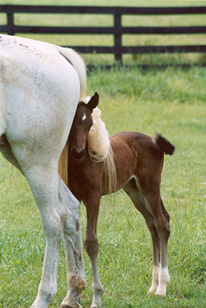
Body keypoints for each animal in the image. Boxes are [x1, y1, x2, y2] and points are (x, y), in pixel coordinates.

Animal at [0, 35, 85, 308]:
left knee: (54, 221)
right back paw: (73, 293)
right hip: (29, 160)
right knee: (70, 209)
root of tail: (56, 51)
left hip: (35, 163)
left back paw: (43, 297)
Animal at [65, 92, 175, 308]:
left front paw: (96, 297)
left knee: (161, 223)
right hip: (134, 191)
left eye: (90, 124)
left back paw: (162, 287)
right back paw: (153, 285)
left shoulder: (93, 198)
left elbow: (90, 242)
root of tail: (154, 141)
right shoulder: (74, 198)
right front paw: (75, 296)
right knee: (152, 223)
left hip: (150, 186)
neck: (85, 163)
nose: (78, 152)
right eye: (71, 122)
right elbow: (75, 242)